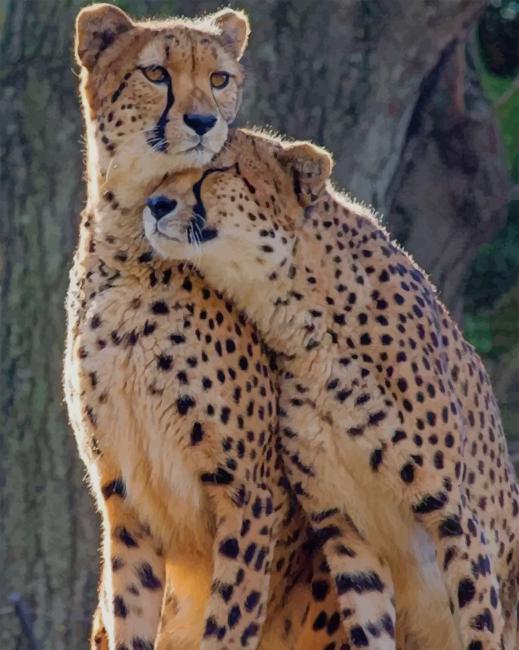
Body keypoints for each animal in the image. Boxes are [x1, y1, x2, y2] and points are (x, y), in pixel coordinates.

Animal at [68, 4, 350, 649]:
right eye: (155, 73)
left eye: (219, 79)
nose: (202, 121)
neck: (131, 256)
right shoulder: (123, 497)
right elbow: (130, 614)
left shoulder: (248, 493)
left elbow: (229, 620)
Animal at [141, 127, 519, 650]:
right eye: (170, 168)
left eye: (217, 169)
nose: (155, 203)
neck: (307, 326)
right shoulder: (346, 532)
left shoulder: (456, 519)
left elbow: (480, 628)